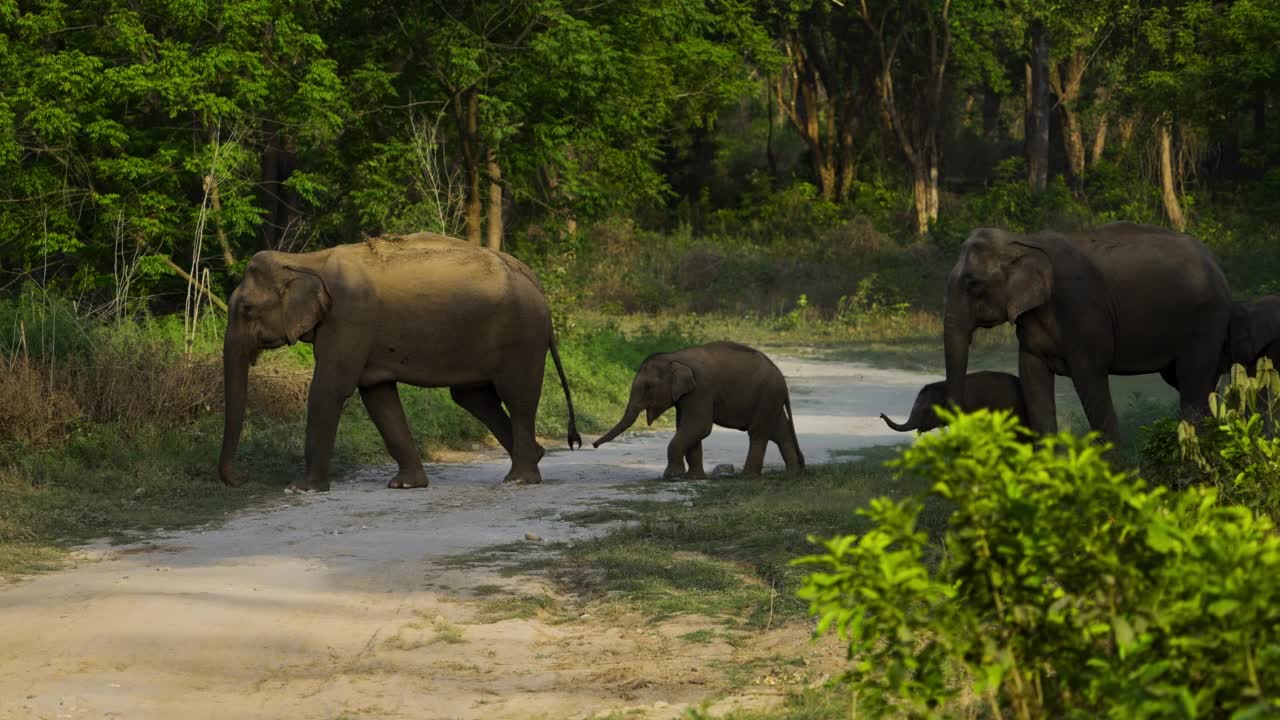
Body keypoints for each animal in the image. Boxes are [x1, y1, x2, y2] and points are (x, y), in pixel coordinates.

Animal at [220, 233, 581, 489]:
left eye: (247, 309)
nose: (241, 480)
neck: (305, 260)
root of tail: (535, 282)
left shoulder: (350, 317)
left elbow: (330, 389)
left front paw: (300, 488)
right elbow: (377, 395)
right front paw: (406, 485)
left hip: (522, 336)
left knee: (516, 395)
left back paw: (520, 479)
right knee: (472, 396)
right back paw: (535, 455)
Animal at [588, 340, 798, 479]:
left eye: (648, 387)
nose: (593, 445)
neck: (675, 357)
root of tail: (781, 378)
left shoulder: (701, 389)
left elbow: (699, 426)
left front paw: (671, 476)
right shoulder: (686, 396)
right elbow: (688, 428)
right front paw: (693, 478)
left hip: (767, 396)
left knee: (758, 432)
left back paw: (748, 477)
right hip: (770, 400)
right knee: (780, 431)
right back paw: (795, 472)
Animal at [947, 221, 1233, 440]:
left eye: (973, 284)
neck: (1022, 241)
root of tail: (1216, 265)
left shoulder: (1082, 312)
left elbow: (1090, 380)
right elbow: (1032, 376)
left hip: (1206, 320)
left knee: (1192, 381)